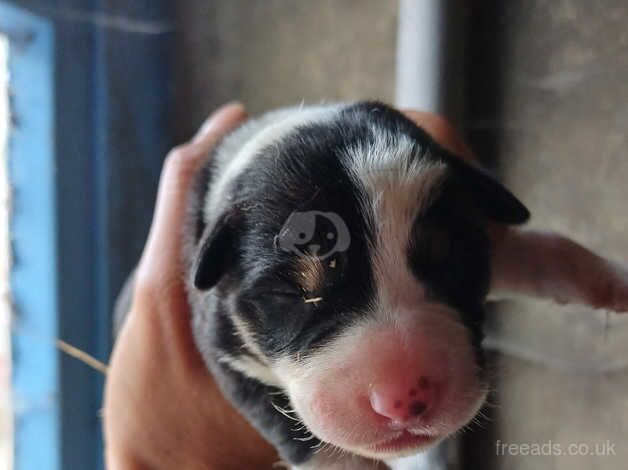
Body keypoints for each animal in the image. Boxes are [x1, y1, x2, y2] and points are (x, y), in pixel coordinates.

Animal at [121, 101, 628, 468]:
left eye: (453, 264)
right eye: (291, 293)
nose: (404, 401)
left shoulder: (486, 240)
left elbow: (537, 254)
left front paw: (610, 281)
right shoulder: (218, 339)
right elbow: (288, 424)